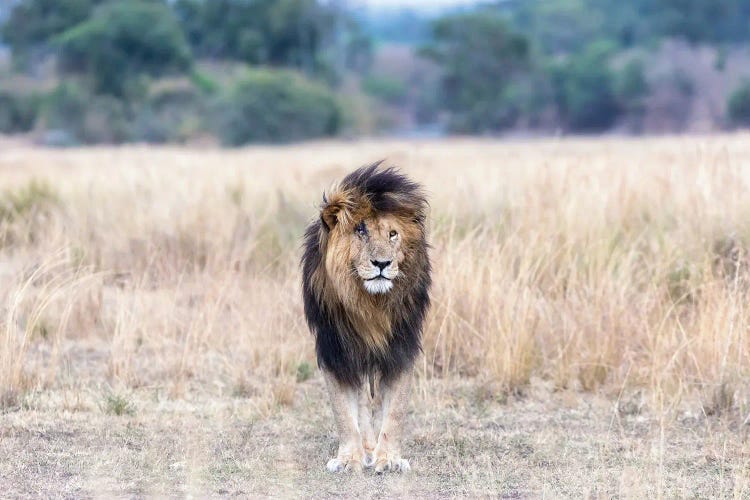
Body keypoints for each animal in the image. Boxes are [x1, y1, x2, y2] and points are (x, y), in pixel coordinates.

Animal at [302, 163, 432, 472]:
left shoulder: (400, 349)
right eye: (360, 230)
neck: (371, 304)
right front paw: (350, 459)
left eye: (393, 234)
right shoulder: (335, 351)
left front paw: (390, 459)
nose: (382, 263)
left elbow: (394, 412)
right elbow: (344, 412)